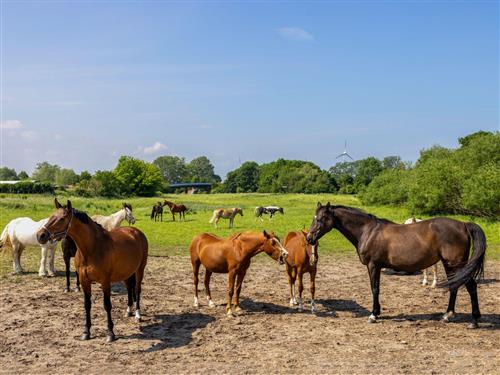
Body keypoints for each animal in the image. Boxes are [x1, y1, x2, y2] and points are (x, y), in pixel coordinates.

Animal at [36, 200, 147, 344]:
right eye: (51, 216)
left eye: (61, 219)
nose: (40, 235)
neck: (92, 248)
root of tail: (135, 232)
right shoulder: (85, 281)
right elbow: (87, 305)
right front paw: (86, 332)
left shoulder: (105, 282)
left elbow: (107, 305)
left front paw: (110, 333)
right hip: (126, 273)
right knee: (129, 288)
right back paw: (128, 311)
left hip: (139, 270)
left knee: (137, 290)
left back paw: (138, 315)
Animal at [306, 203, 486, 328]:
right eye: (313, 218)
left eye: (320, 219)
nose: (309, 238)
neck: (368, 231)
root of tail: (463, 224)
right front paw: (377, 313)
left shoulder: (373, 265)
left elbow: (375, 288)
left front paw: (373, 315)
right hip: (450, 265)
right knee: (454, 286)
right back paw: (447, 316)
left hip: (456, 264)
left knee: (471, 287)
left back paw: (474, 321)